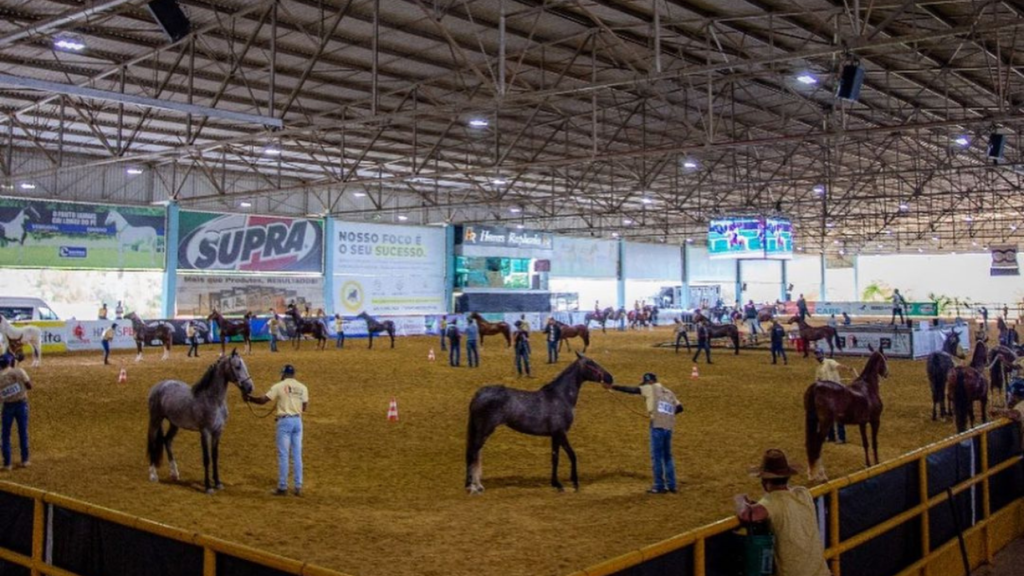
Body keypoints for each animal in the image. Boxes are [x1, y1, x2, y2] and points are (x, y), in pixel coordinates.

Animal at [146, 348, 253, 491]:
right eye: (237, 366)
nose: (249, 387)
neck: (213, 400)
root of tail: (159, 385)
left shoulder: (218, 431)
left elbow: (215, 456)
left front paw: (217, 483)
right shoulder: (205, 431)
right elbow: (206, 458)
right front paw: (208, 487)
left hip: (174, 423)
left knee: (167, 441)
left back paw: (175, 473)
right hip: (155, 420)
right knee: (153, 443)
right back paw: (153, 475)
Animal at [466, 352, 614, 491]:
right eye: (590, 363)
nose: (610, 378)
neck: (560, 397)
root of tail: (479, 394)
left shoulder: (555, 435)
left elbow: (558, 457)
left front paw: (560, 483)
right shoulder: (560, 433)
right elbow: (568, 455)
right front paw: (571, 483)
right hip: (484, 430)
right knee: (473, 453)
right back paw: (473, 486)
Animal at [798, 344, 888, 479]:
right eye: (884, 359)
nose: (887, 373)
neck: (868, 387)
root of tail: (815, 386)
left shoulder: (862, 423)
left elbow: (865, 443)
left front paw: (868, 464)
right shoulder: (875, 420)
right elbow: (874, 442)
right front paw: (876, 463)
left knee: (811, 443)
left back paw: (812, 473)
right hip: (825, 423)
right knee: (817, 443)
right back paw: (821, 475)